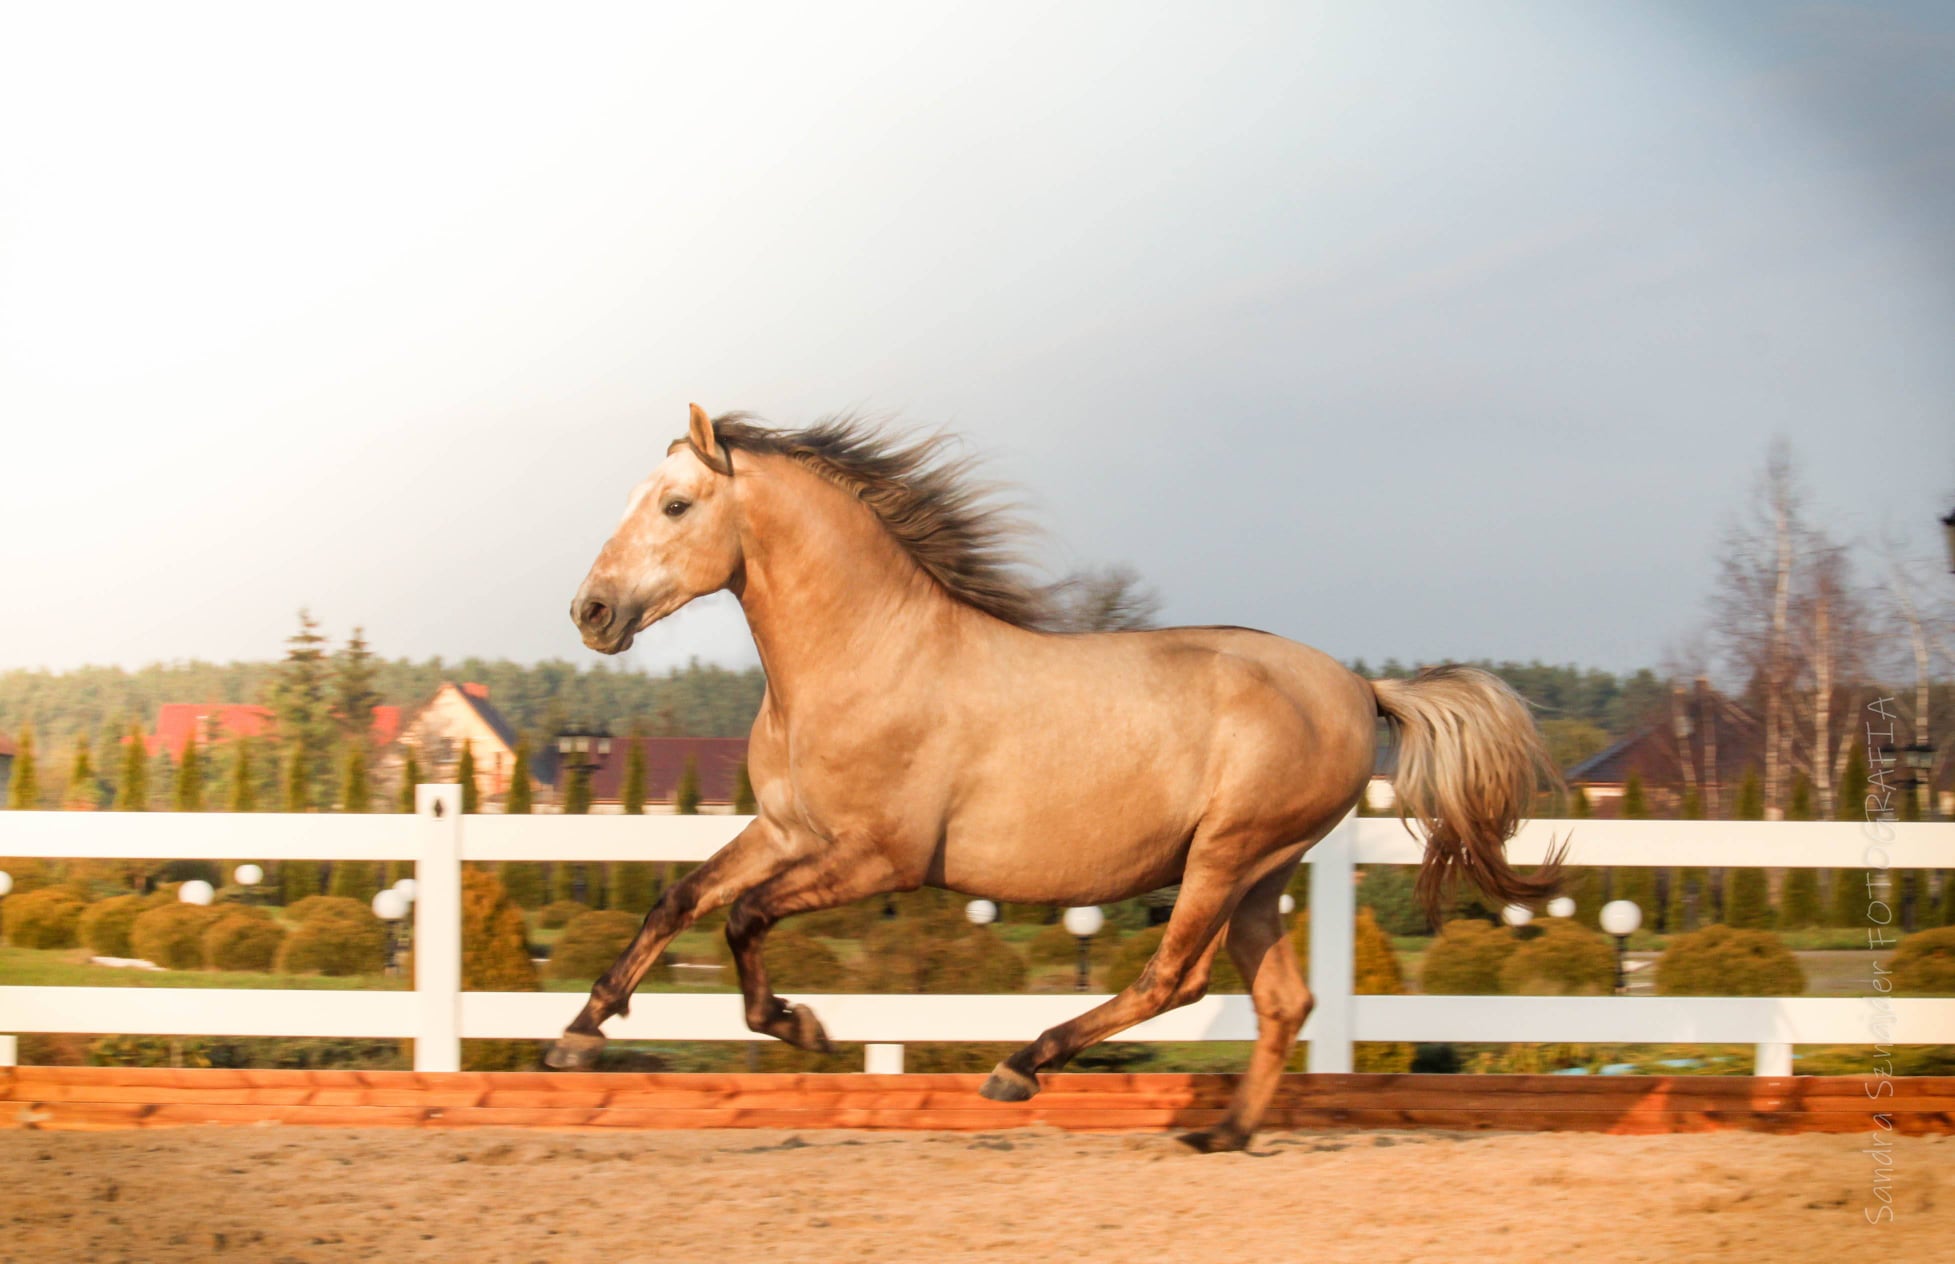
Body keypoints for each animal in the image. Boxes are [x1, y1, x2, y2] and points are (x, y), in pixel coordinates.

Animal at [547, 408, 1556, 1156]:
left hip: (1226, 856)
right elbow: (680, 899)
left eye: (676, 505)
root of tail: (1358, 686)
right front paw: (578, 1034)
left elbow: (744, 918)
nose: (590, 613)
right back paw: (1223, 1133)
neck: (868, 654)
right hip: (1261, 875)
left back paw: (1021, 1065)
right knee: (1281, 1002)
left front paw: (802, 1027)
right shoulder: (787, 831)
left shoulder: (880, 858)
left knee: (1173, 979)